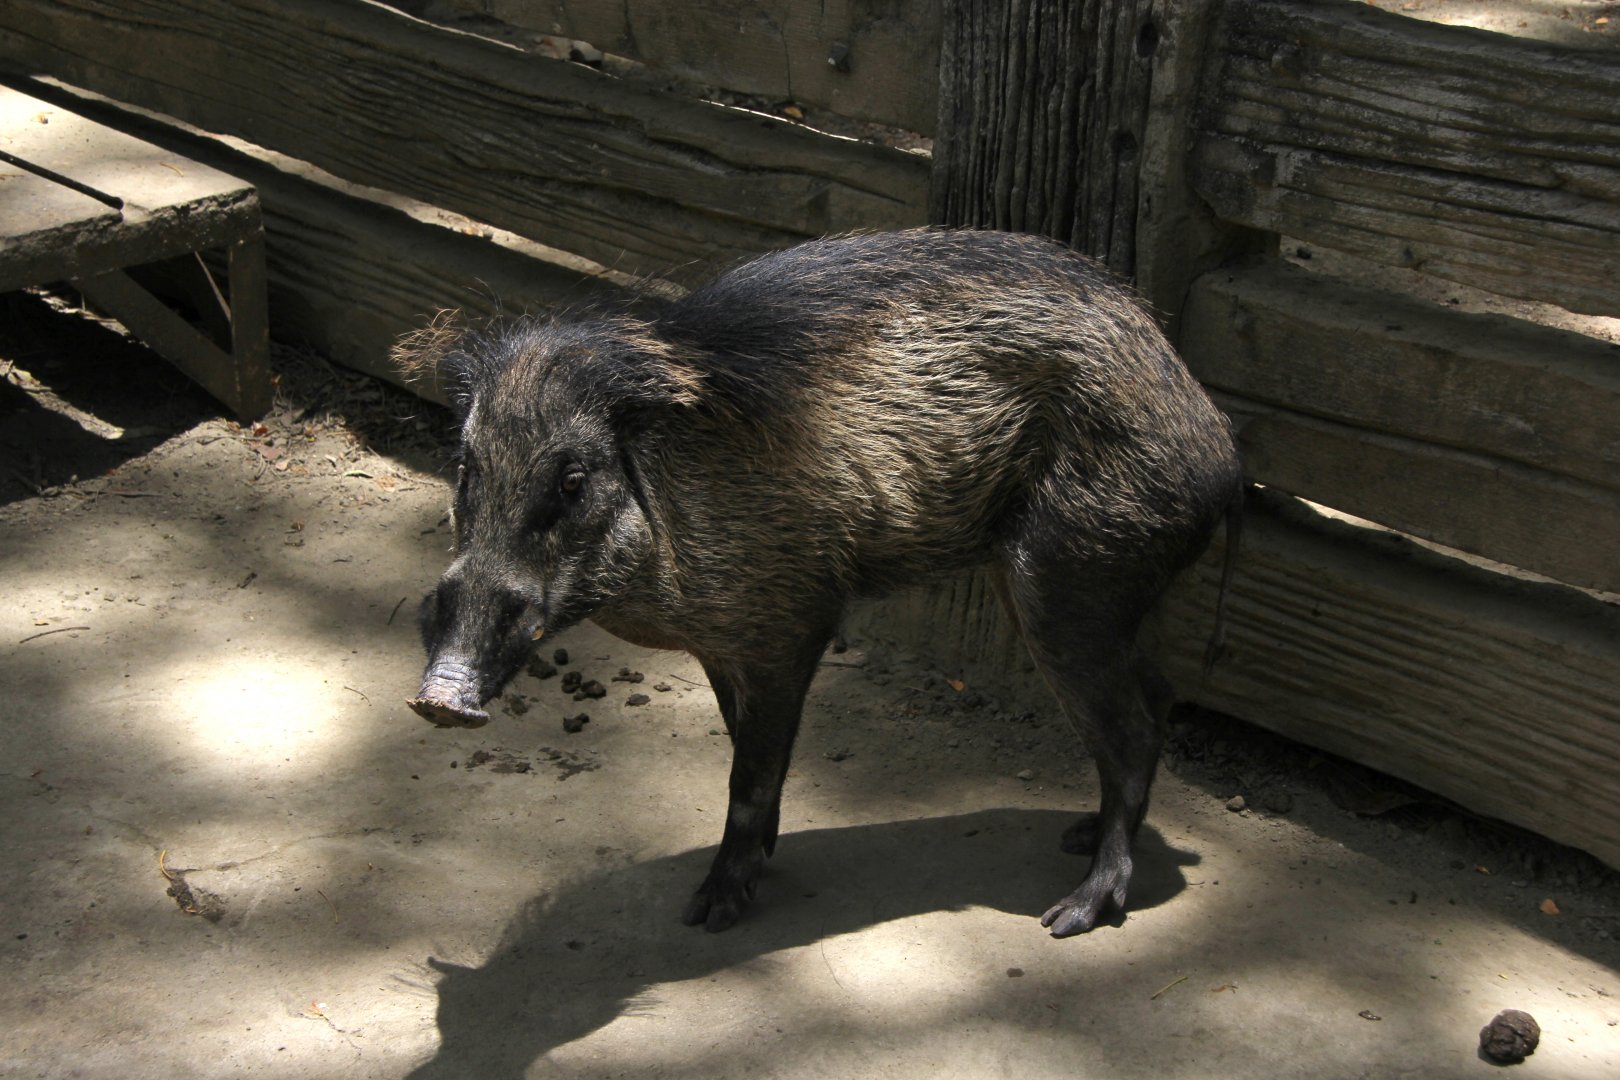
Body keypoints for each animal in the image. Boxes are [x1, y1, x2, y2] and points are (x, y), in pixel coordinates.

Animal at [401, 228, 1243, 937]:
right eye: (466, 465)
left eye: (573, 478)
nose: (439, 700)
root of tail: (1219, 446)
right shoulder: (726, 642)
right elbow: (746, 744)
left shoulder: (790, 620)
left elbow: (750, 770)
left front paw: (709, 913)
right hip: (1075, 587)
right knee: (1156, 695)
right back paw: (1076, 837)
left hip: (1070, 576)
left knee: (1132, 729)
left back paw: (1070, 914)